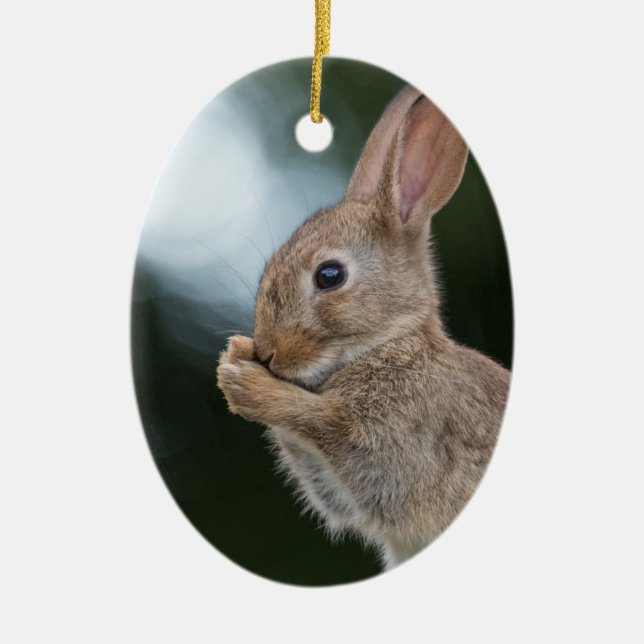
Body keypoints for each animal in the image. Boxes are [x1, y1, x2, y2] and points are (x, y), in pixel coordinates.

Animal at [216, 85, 510, 570]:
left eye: (330, 275)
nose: (269, 352)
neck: (388, 343)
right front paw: (235, 355)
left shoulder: (392, 449)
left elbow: (322, 424)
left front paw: (245, 381)